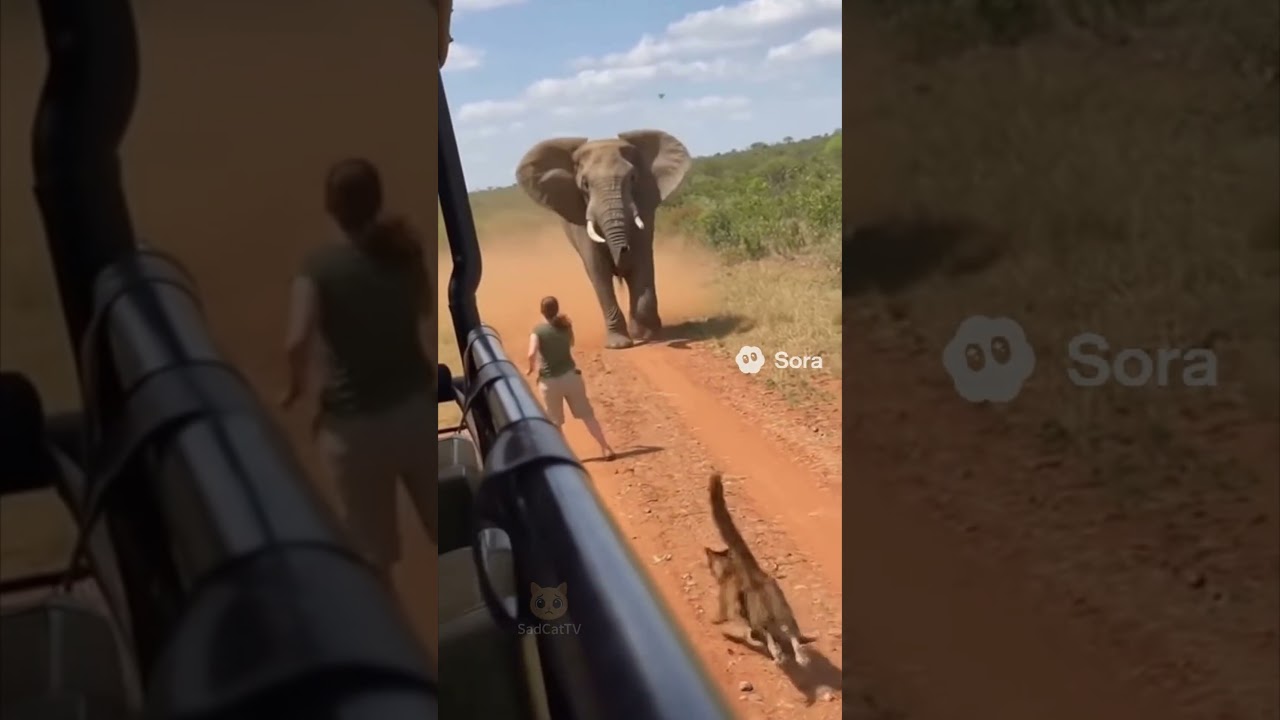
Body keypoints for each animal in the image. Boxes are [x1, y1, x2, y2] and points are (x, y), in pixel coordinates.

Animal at [515, 129, 693, 349]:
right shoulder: (580, 219)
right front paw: (620, 345)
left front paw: (646, 334)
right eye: (585, 184)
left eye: (633, 178)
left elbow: (642, 262)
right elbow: (598, 270)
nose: (623, 250)